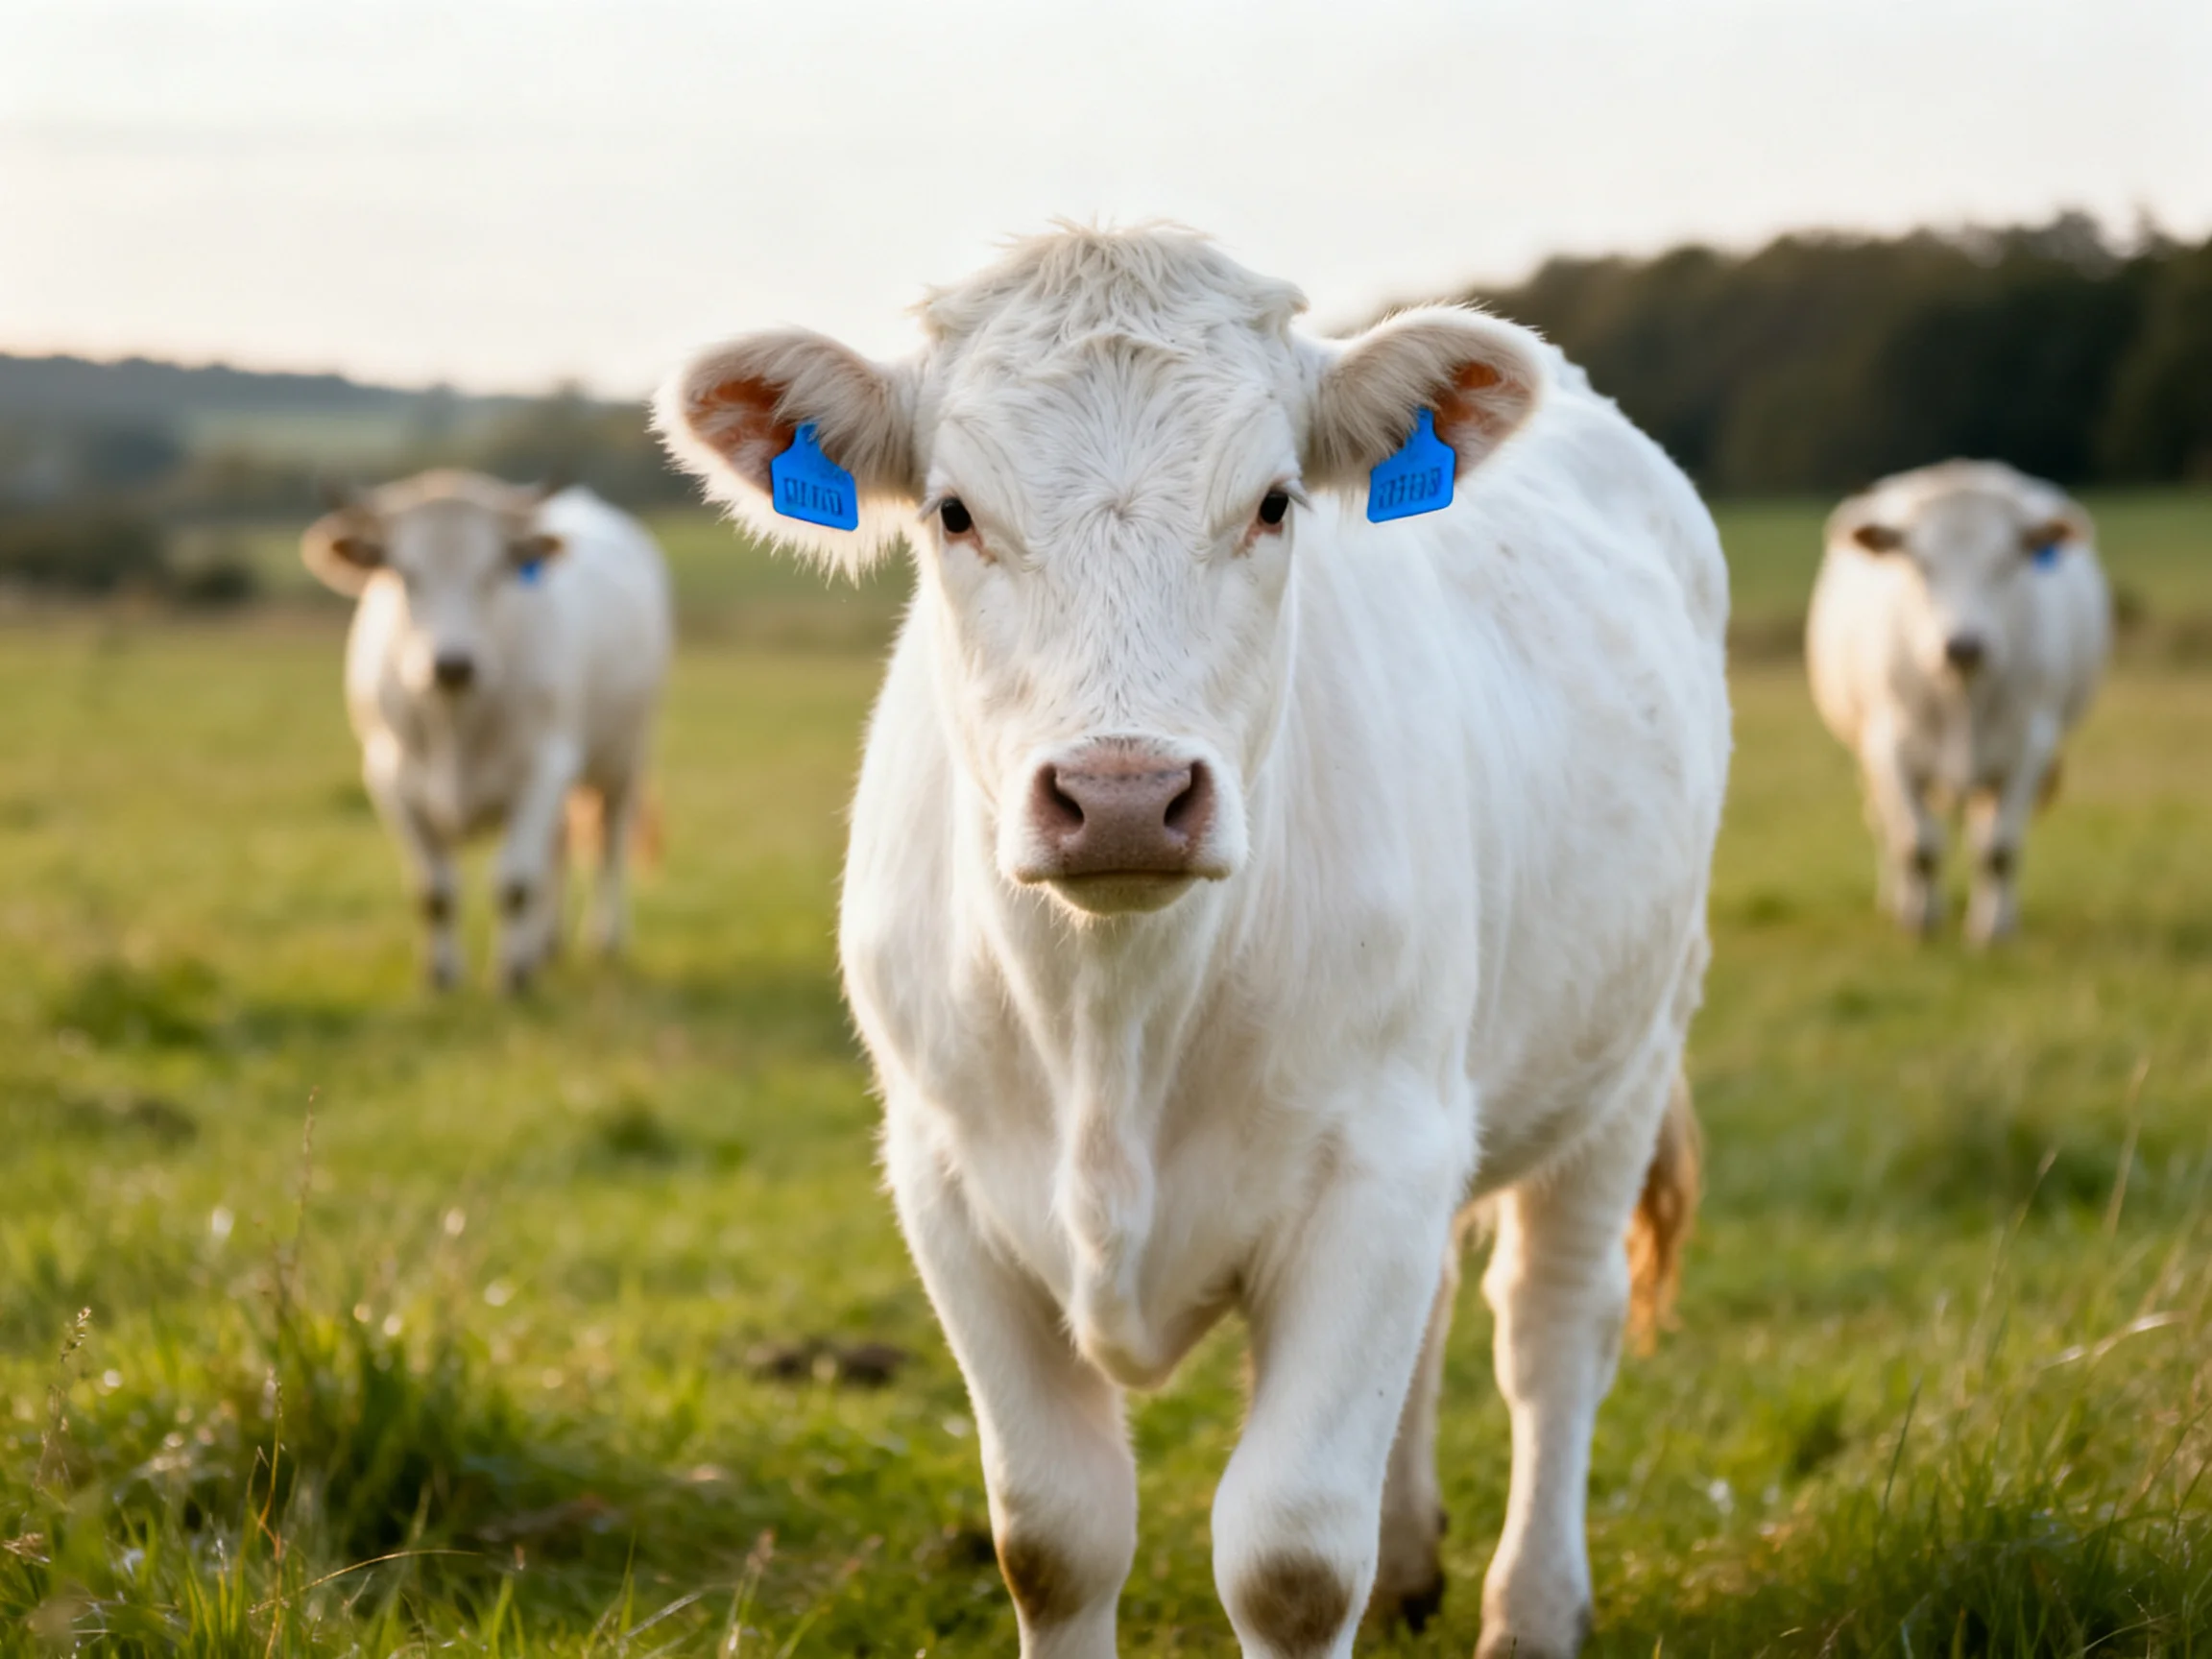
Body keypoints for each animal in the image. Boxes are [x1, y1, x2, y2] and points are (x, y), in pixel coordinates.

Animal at [301, 470, 673, 991]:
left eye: (492, 571)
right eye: (405, 574)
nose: (452, 664)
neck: (455, 720)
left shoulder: (541, 771)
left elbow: (514, 883)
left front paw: (512, 977)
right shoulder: (390, 780)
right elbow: (434, 891)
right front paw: (442, 977)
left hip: (623, 758)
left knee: (607, 847)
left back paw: (604, 941)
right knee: (556, 852)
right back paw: (546, 944)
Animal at [656, 226, 1730, 1659]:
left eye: (1275, 502)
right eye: (953, 512)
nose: (1123, 793)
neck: (1112, 1026)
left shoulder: (1373, 1166)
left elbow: (1291, 1559)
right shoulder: (948, 1185)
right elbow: (1053, 1539)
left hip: (1624, 1057)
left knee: (1552, 1327)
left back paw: (1533, 1610)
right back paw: (1412, 1560)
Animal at [1807, 460, 2109, 944]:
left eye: (2005, 562)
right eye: (1919, 563)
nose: (1963, 645)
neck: (1960, 694)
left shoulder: (2029, 746)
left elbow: (1999, 848)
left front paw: (1992, 931)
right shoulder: (1889, 747)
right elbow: (1918, 845)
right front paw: (1919, 923)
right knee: (1887, 825)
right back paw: (1896, 901)